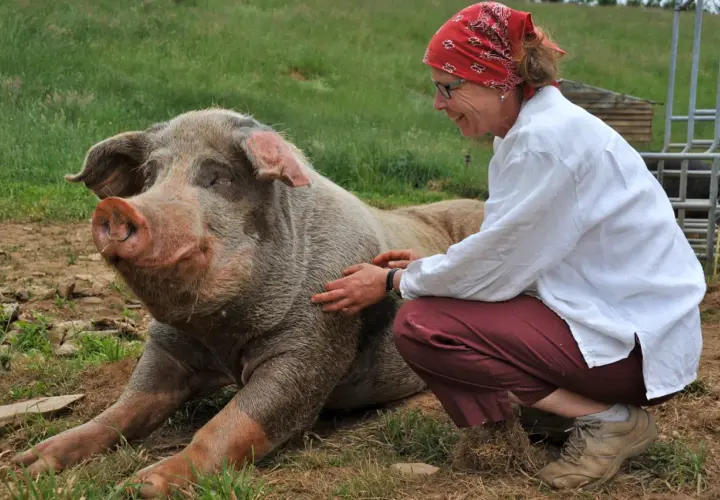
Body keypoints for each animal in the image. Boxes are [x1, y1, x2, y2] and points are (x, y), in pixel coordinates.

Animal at [12, 108, 486, 497]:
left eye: (218, 177)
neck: (222, 338)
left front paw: (141, 486)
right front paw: (25, 465)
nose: (116, 207)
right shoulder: (168, 345)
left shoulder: (313, 344)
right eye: (149, 176)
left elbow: (235, 422)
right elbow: (125, 407)